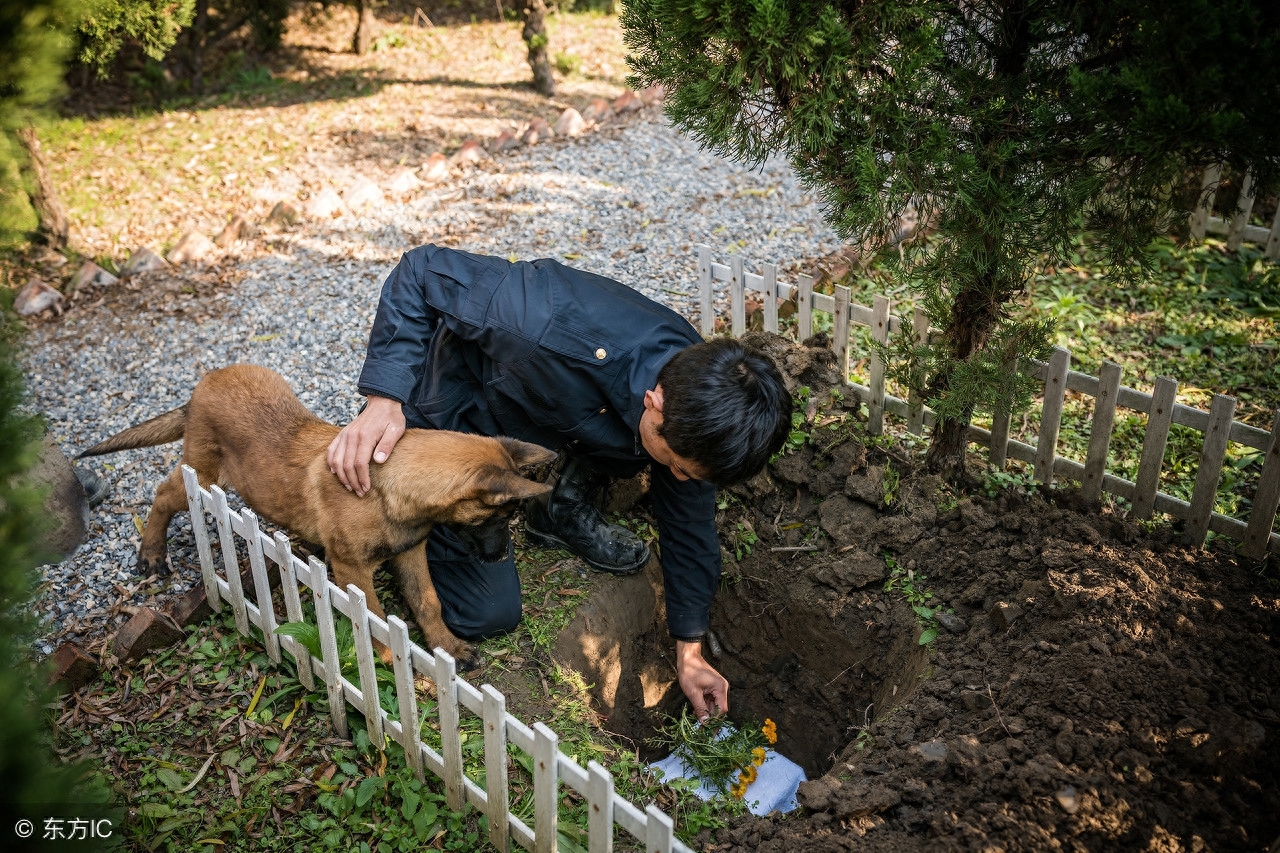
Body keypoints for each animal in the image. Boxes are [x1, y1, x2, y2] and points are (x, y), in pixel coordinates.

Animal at [81, 361, 555, 666]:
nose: (500, 557)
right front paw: (392, 662)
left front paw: (447, 647)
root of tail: (204, 383)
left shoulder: (411, 551)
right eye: (496, 518)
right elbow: (375, 620)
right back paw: (151, 553)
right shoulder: (351, 569)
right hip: (200, 472)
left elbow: (429, 601)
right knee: (163, 495)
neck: (386, 489)